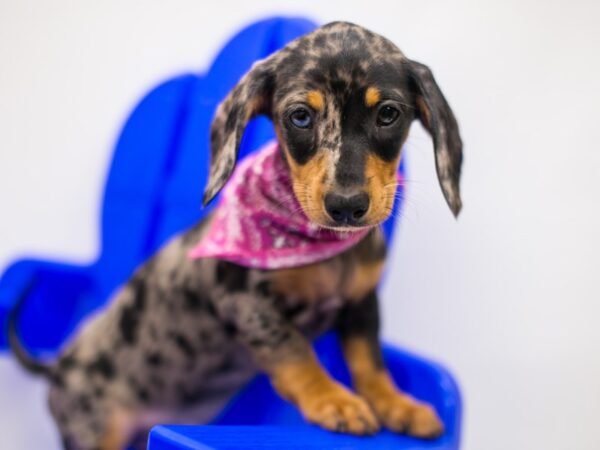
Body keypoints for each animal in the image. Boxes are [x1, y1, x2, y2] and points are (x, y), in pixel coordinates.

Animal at [8, 22, 464, 450]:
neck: (325, 250)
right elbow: (295, 350)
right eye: (300, 116)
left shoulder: (362, 303)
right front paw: (332, 400)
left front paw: (396, 404)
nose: (347, 206)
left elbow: (369, 361)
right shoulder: (245, 303)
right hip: (92, 432)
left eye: (388, 113)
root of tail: (58, 368)